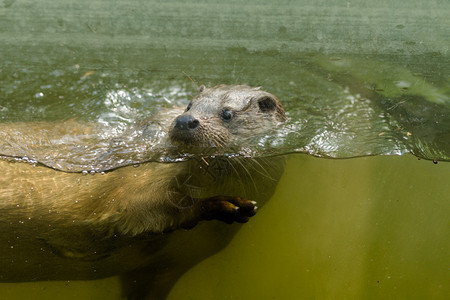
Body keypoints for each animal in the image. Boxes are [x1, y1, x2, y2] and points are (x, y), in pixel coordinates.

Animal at [0, 85, 286, 300]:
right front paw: (222, 204)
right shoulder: (138, 181)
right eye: (189, 105)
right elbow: (138, 206)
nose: (184, 121)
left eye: (227, 113)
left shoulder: (170, 265)